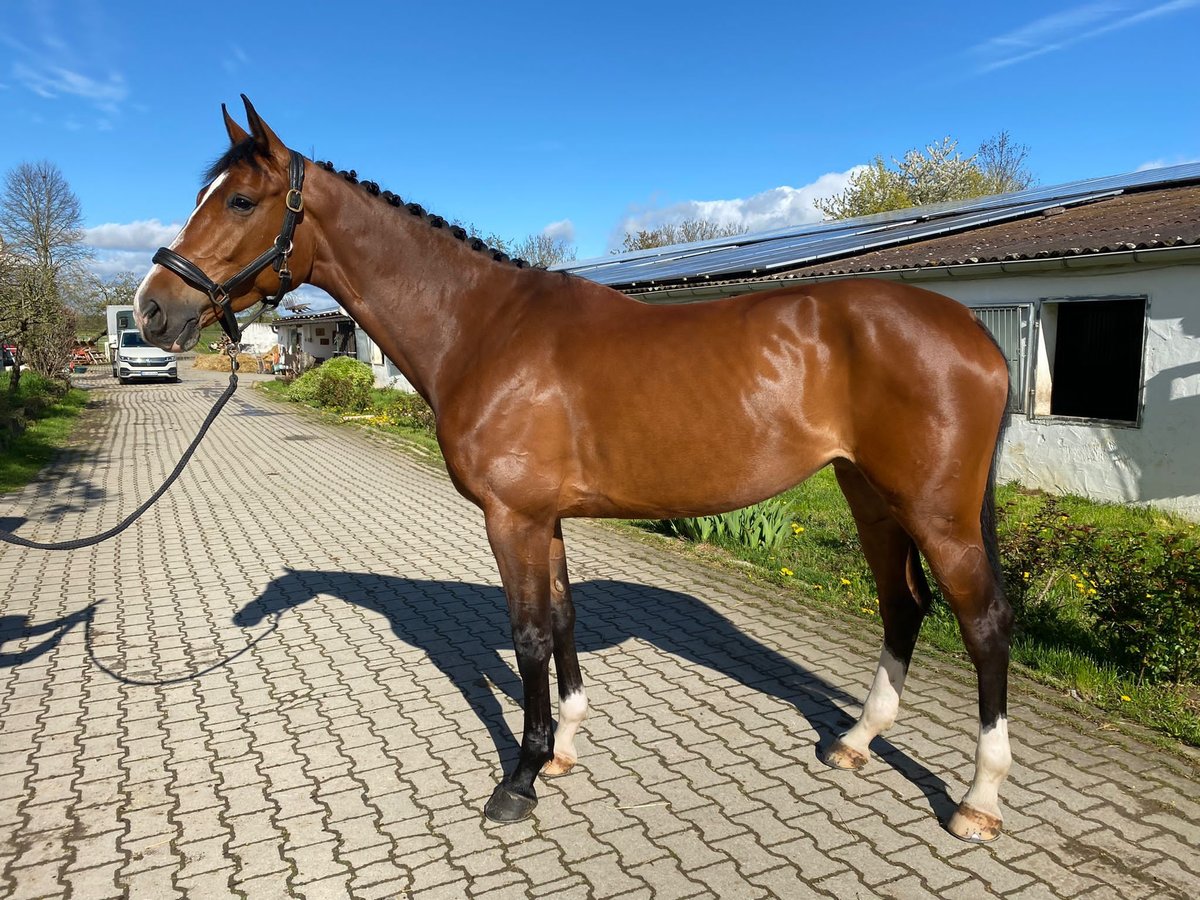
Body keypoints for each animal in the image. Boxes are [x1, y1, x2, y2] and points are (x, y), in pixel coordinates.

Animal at [135, 97, 1014, 842]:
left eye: (239, 202)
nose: (150, 310)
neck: (482, 328)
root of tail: (972, 328)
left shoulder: (512, 519)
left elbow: (526, 635)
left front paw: (517, 782)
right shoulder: (545, 520)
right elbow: (561, 621)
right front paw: (560, 750)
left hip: (935, 511)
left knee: (982, 623)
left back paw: (976, 801)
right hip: (869, 495)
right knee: (903, 606)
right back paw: (856, 741)